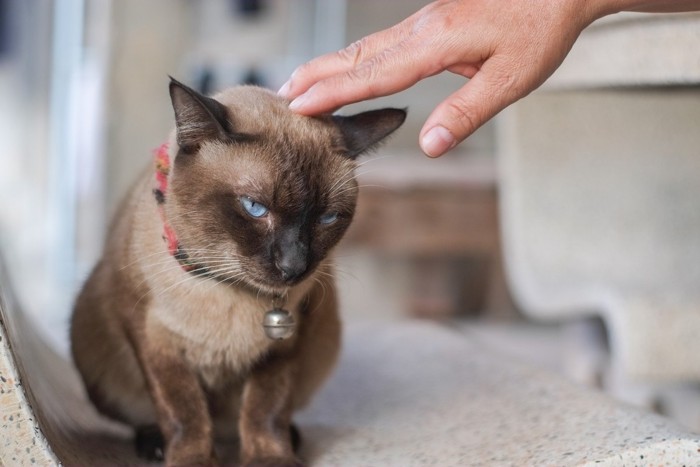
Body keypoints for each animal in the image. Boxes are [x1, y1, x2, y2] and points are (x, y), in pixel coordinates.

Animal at [70, 76, 404, 464]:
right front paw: (194, 460)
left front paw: (270, 459)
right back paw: (155, 445)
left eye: (328, 217)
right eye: (255, 208)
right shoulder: (154, 342)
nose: (294, 266)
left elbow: (265, 410)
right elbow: (183, 411)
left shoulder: (283, 347)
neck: (227, 287)